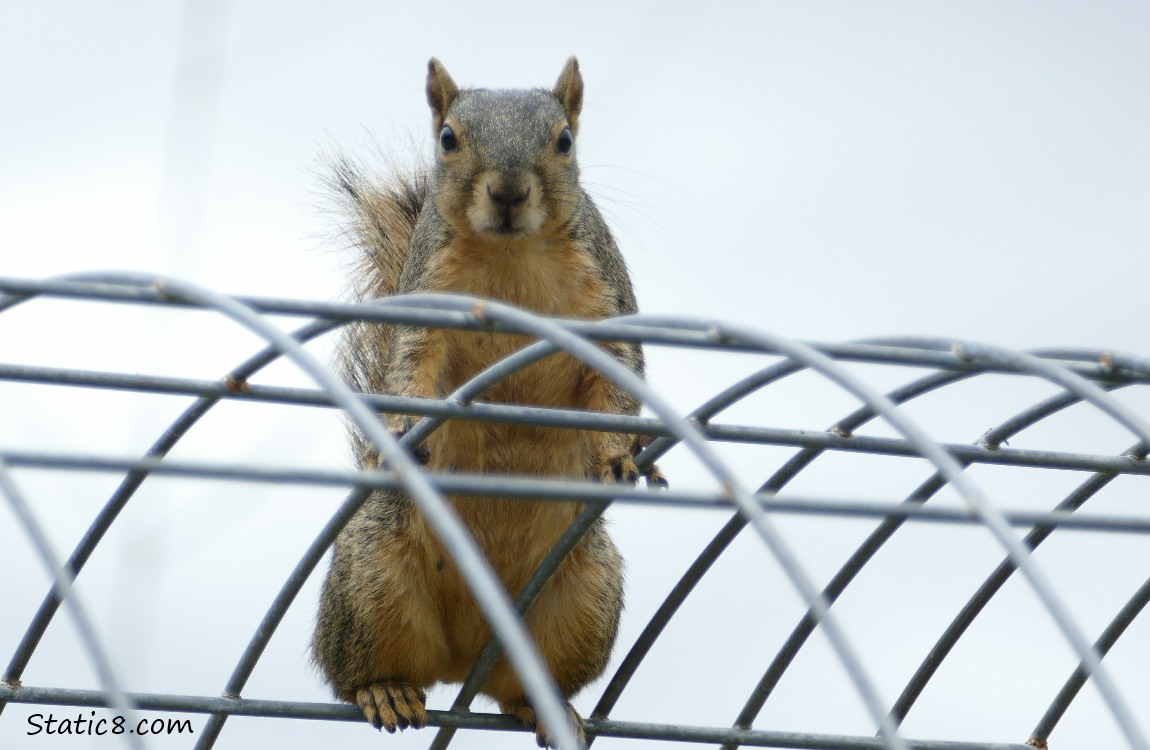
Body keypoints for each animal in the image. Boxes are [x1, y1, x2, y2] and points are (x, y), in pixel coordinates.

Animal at [311, 57, 665, 748]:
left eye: (565, 141)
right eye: (448, 139)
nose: (506, 192)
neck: (510, 254)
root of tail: (461, 660)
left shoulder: (607, 305)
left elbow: (618, 383)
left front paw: (615, 452)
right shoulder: (426, 312)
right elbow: (410, 374)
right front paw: (407, 426)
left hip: (585, 598)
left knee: (515, 690)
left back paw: (547, 708)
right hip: (370, 575)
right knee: (349, 670)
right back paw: (384, 690)